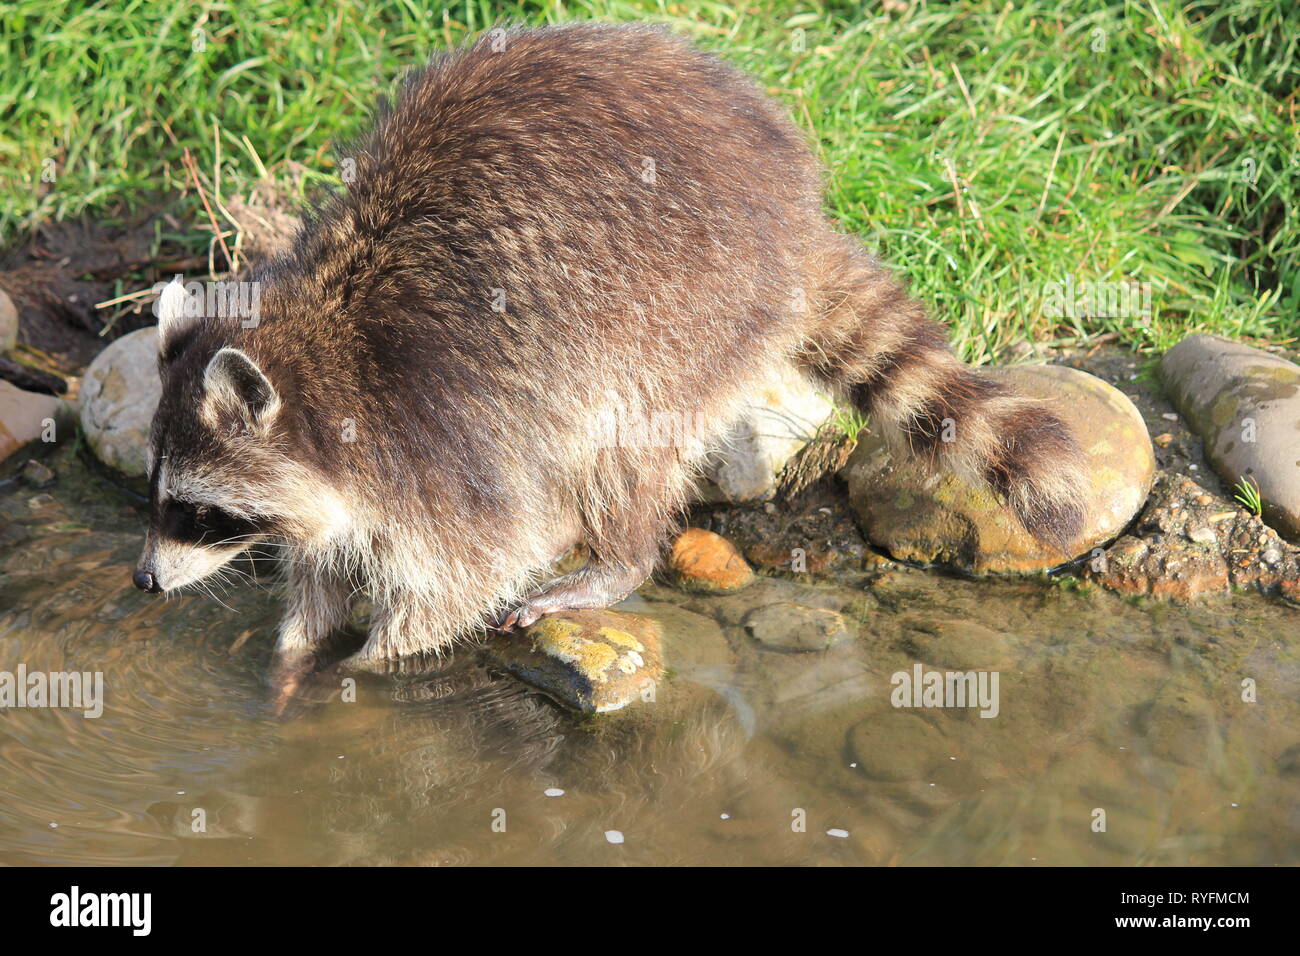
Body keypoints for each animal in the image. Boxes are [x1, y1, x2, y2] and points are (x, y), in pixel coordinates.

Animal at [134, 24, 1086, 681]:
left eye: (195, 511)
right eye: (157, 493)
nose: (142, 581)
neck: (320, 345)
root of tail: (793, 211)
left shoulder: (434, 437)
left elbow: (469, 568)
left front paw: (369, 667)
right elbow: (327, 564)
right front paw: (296, 660)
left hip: (682, 320)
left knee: (621, 445)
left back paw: (615, 560)